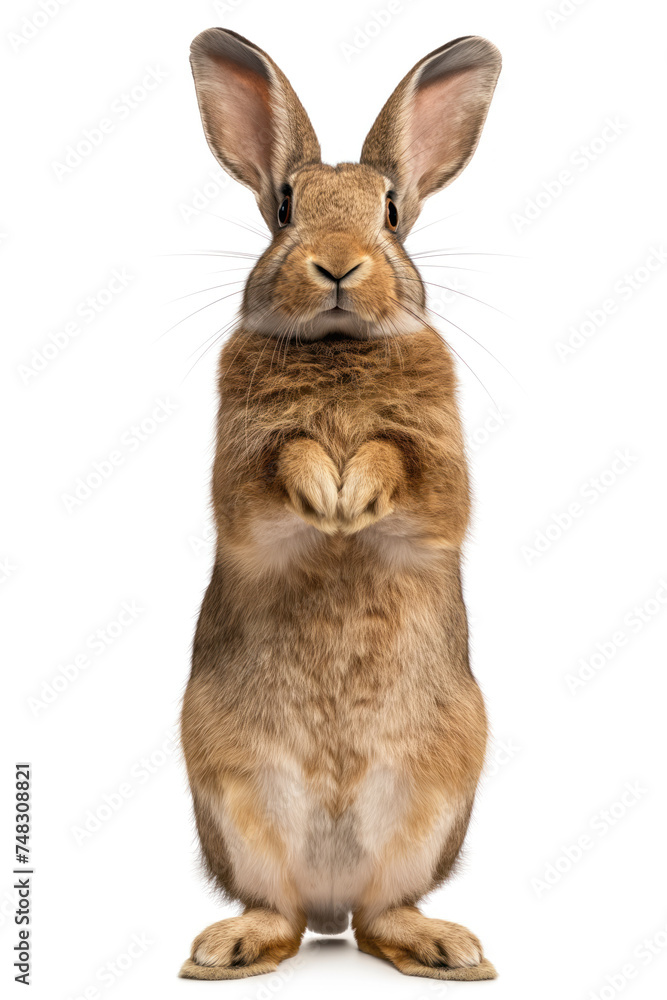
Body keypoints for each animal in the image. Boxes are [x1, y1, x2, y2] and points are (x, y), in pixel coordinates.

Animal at [179, 28, 502, 982]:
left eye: (390, 211)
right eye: (285, 207)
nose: (336, 265)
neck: (335, 345)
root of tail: (328, 900)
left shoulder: (441, 468)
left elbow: (403, 462)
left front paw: (352, 494)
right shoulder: (238, 470)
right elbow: (277, 461)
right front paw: (326, 491)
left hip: (432, 805)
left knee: (378, 911)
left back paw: (443, 949)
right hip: (235, 802)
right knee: (283, 911)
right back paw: (228, 948)